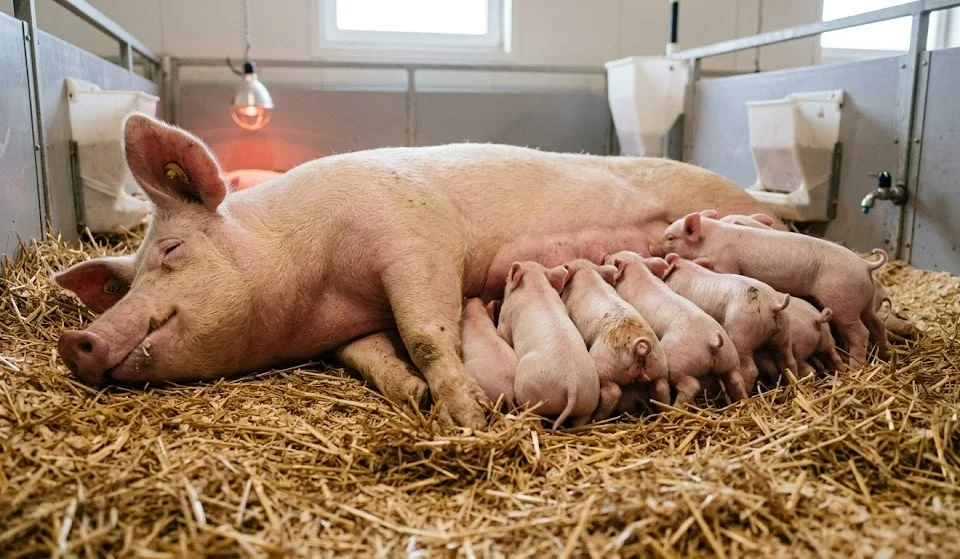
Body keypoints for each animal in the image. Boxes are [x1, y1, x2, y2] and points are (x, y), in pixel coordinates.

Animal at [497, 262, 599, 429]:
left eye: (507, 277)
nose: (504, 278)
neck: (536, 284)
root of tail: (571, 385)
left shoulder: (505, 320)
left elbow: (503, 334)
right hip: (589, 399)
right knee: (582, 419)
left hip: (530, 390)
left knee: (534, 416)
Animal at [560, 259, 669, 420]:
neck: (587, 273)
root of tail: (639, 349)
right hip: (658, 366)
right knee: (661, 387)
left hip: (605, 366)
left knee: (612, 391)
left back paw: (597, 419)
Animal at [604, 251, 740, 407]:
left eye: (613, 260)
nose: (606, 256)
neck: (637, 270)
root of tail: (711, 339)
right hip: (729, 357)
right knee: (735, 377)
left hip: (678, 362)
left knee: (690, 385)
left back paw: (676, 407)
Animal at [656, 212, 888, 363]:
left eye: (670, 237)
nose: (651, 246)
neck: (708, 239)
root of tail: (866, 265)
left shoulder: (725, 262)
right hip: (864, 303)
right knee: (877, 325)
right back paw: (884, 354)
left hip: (842, 300)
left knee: (860, 332)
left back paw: (855, 366)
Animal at [661, 254, 796, 400]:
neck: (687, 268)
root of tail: (773, 305)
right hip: (784, 333)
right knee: (789, 360)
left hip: (742, 333)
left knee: (750, 369)